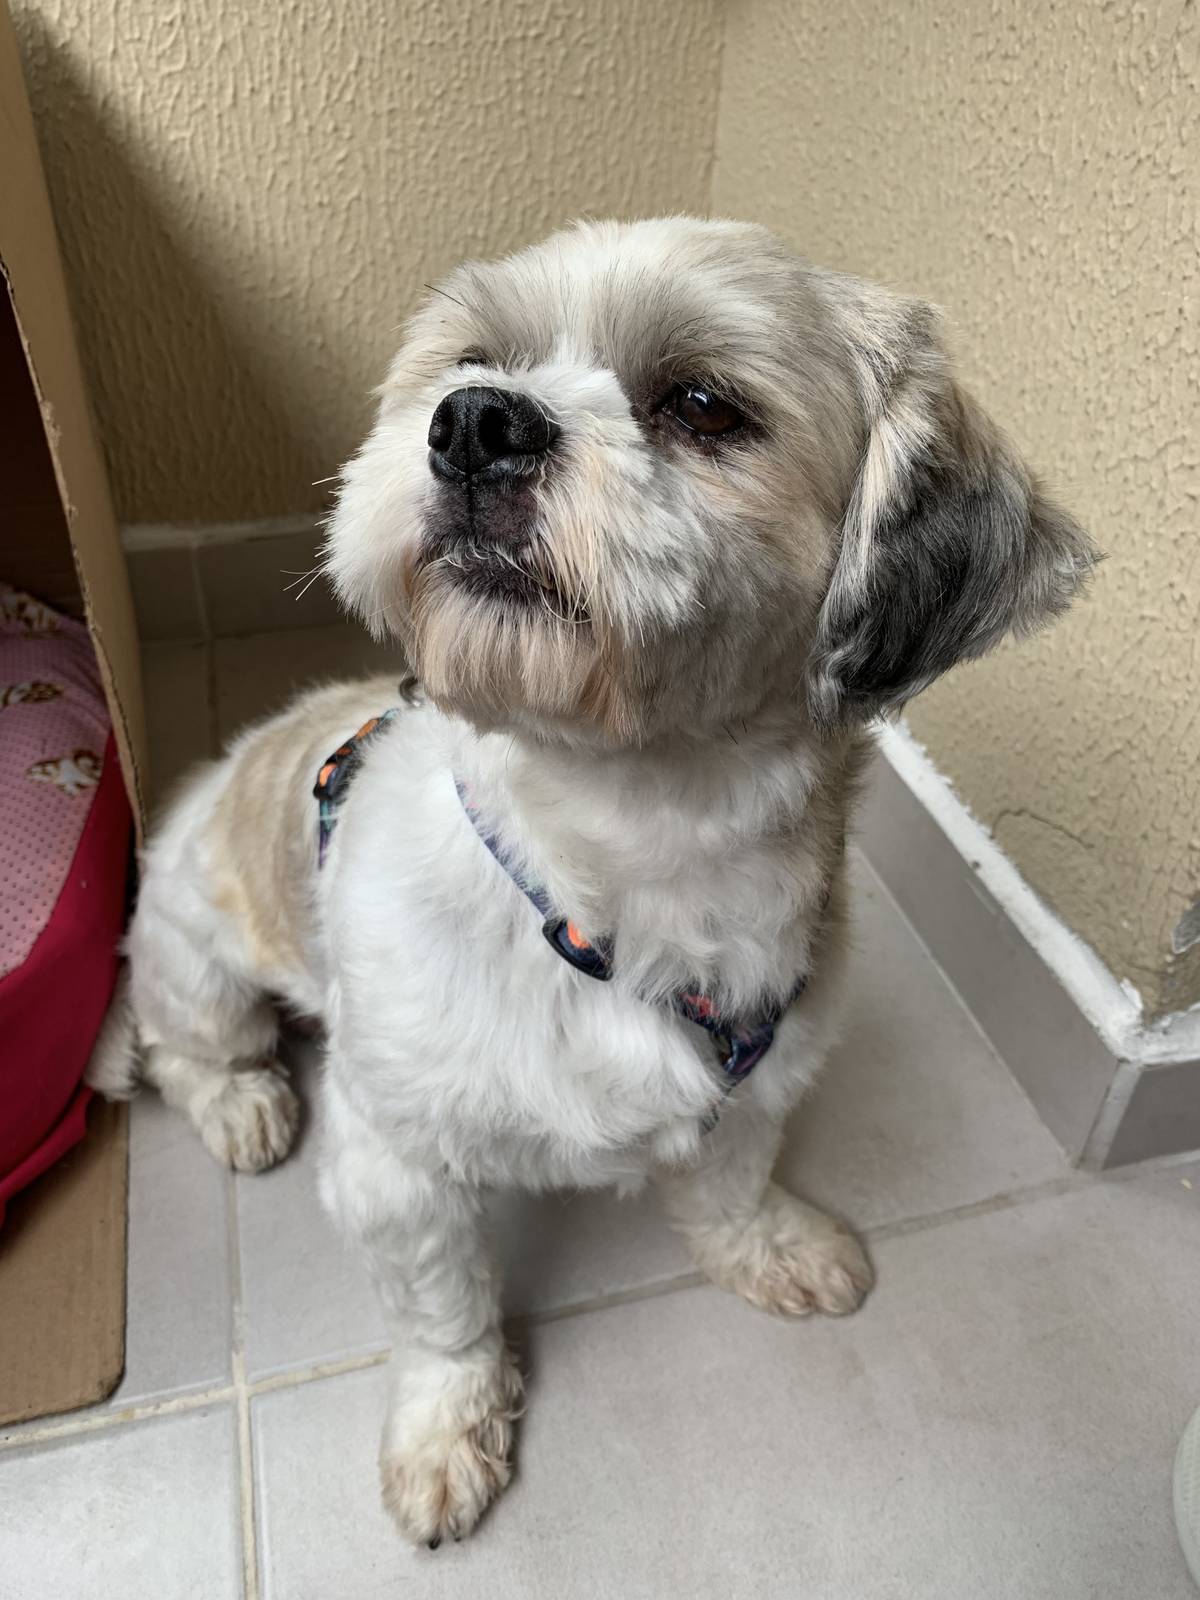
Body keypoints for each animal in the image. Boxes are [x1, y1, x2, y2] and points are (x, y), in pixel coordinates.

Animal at [91, 217, 1096, 1545]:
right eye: (472, 360)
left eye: (704, 405)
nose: (475, 421)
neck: (622, 865)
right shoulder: (398, 1161)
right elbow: (444, 1313)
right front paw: (445, 1432)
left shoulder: (757, 1075)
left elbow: (730, 1181)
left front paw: (768, 1248)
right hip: (194, 955)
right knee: (193, 1049)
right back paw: (245, 1100)